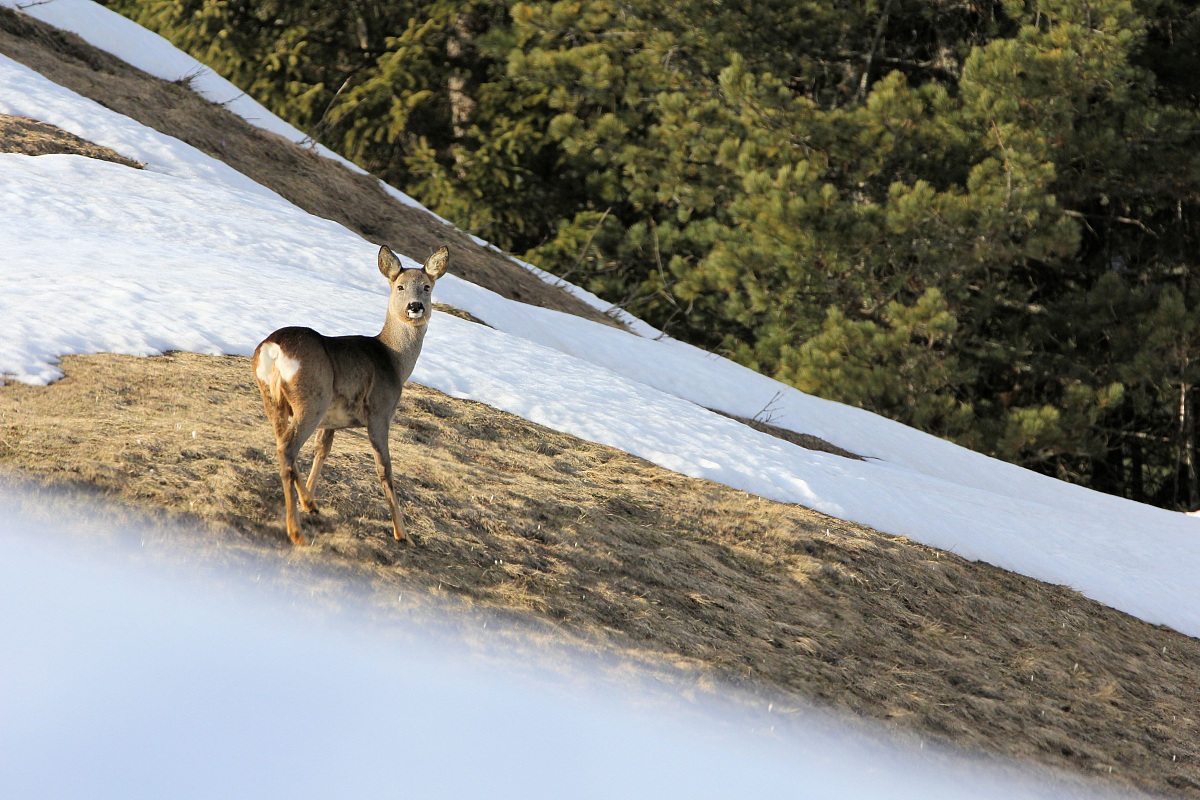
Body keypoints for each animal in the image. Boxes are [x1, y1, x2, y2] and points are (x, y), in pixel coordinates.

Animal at [252, 244, 449, 546]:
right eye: (400, 286)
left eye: (427, 287)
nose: (415, 306)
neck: (393, 360)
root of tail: (273, 349)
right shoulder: (380, 412)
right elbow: (385, 468)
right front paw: (402, 533)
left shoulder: (332, 421)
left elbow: (323, 449)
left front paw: (311, 500)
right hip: (312, 400)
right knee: (288, 448)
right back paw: (296, 532)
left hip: (274, 399)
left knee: (283, 445)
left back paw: (308, 506)